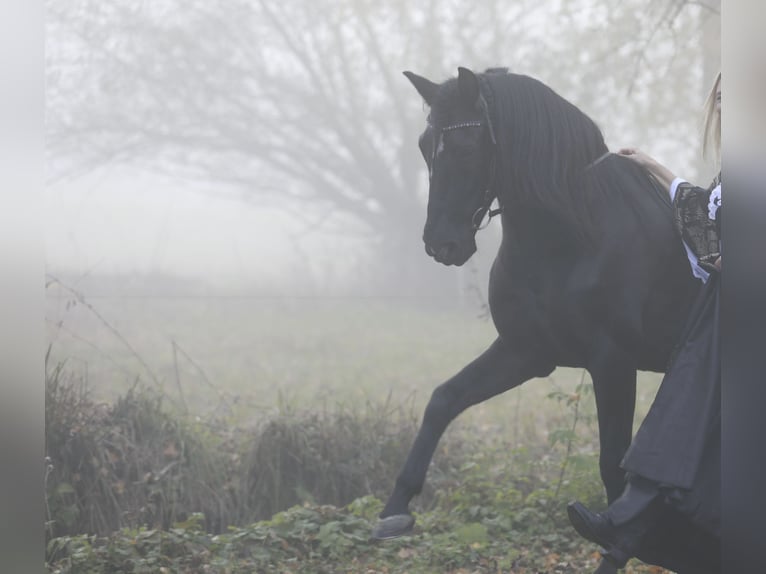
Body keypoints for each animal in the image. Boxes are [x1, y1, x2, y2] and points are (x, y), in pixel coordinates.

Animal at [376, 68, 724, 574]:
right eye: (425, 146)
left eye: (465, 148)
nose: (441, 244)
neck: (575, 237)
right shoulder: (526, 352)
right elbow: (444, 399)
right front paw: (395, 510)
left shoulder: (613, 364)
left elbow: (614, 466)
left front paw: (615, 549)